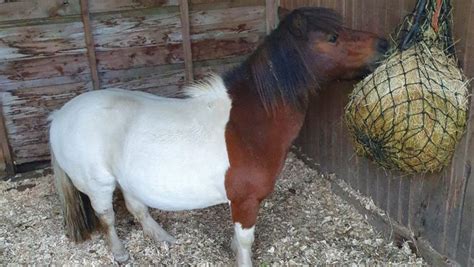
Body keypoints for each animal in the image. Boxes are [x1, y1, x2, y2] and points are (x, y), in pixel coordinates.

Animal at [49, 7, 388, 266]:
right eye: (332, 37)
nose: (384, 44)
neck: (249, 124)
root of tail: (59, 117)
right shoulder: (245, 202)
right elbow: (246, 241)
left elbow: (238, 241)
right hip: (99, 185)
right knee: (107, 217)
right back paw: (120, 253)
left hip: (128, 180)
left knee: (137, 208)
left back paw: (163, 238)